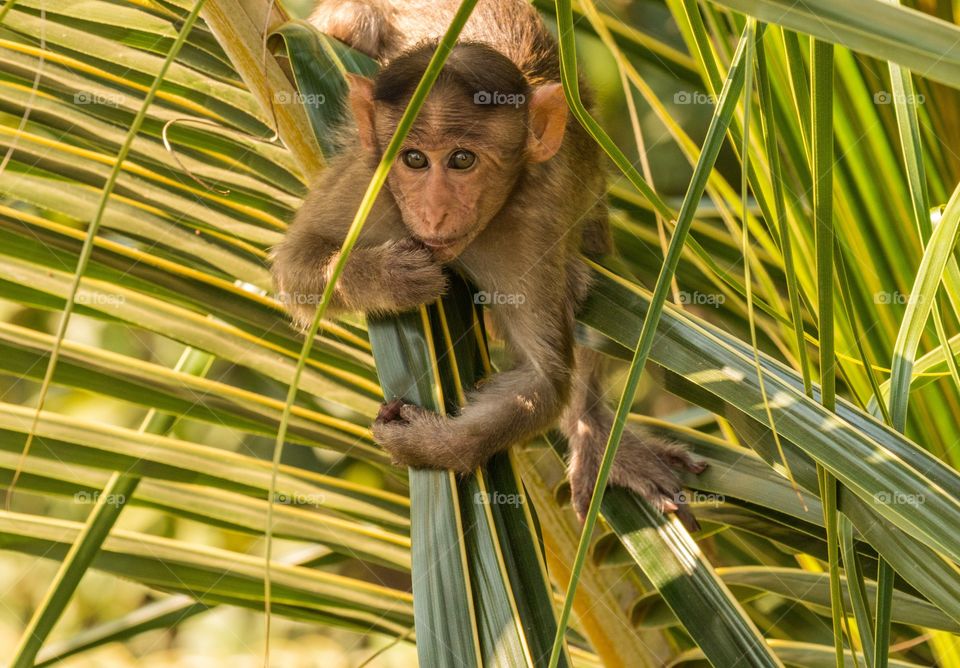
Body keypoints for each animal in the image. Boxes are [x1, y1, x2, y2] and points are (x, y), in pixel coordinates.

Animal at [271, 0, 705, 525]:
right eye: (414, 159)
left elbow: (542, 376)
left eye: (462, 160)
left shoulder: (533, 222)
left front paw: (432, 445)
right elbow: (296, 266)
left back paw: (595, 430)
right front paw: (393, 278)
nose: (435, 211)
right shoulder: (369, 181)